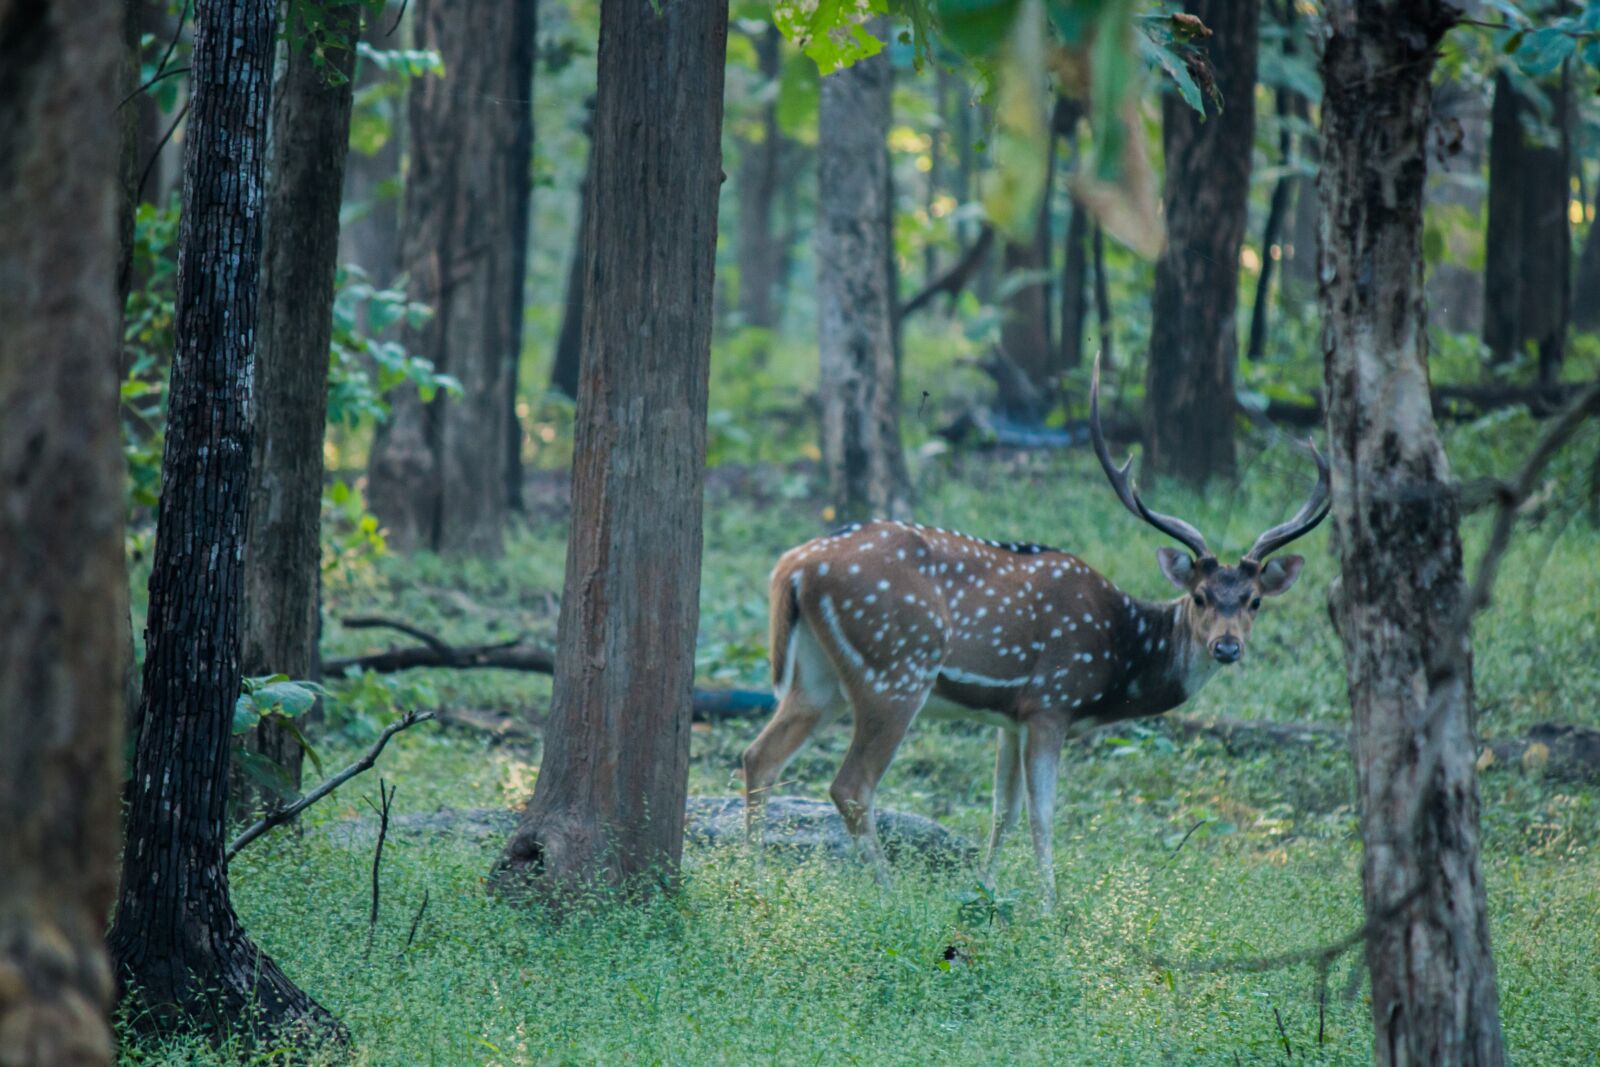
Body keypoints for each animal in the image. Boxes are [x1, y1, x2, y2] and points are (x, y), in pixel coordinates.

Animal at [742, 358, 1331, 908]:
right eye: (1201, 595)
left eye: (1254, 600)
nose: (1227, 646)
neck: (1120, 658)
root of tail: (794, 566)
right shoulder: (1052, 700)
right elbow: (1042, 814)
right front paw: (1050, 905)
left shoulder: (1010, 715)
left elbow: (1002, 810)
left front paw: (984, 888)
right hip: (896, 669)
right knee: (851, 784)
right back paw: (887, 891)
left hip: (819, 677)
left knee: (759, 756)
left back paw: (756, 880)